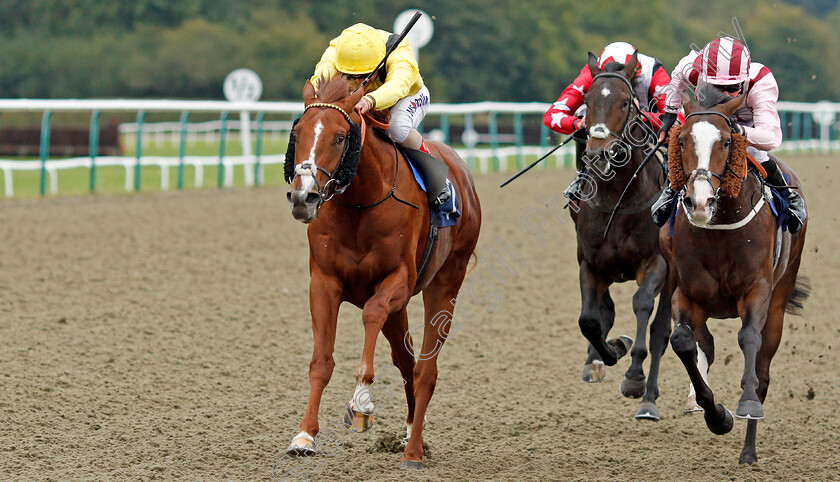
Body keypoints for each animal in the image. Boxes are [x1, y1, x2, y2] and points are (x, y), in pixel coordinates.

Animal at [286, 76, 480, 470]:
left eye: (340, 137)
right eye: (297, 133)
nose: (303, 198)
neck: (360, 202)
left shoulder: (398, 280)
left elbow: (372, 312)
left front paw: (361, 401)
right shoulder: (324, 282)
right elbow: (321, 361)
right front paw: (304, 436)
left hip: (446, 281)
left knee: (425, 369)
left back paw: (413, 451)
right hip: (401, 309)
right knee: (406, 361)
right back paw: (408, 432)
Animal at [568, 50, 672, 418]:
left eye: (626, 102)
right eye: (587, 101)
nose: (597, 154)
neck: (618, 198)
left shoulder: (656, 263)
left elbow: (642, 305)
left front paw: (634, 376)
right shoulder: (590, 264)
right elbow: (589, 319)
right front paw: (611, 350)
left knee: (661, 331)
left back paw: (648, 398)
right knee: (606, 311)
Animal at [664, 88, 808, 466]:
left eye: (727, 141)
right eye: (681, 140)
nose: (699, 202)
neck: (720, 226)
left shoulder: (757, 291)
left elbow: (749, 340)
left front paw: (746, 405)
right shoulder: (685, 293)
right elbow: (682, 341)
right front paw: (717, 415)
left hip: (780, 296)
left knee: (763, 369)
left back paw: (748, 451)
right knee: (704, 343)